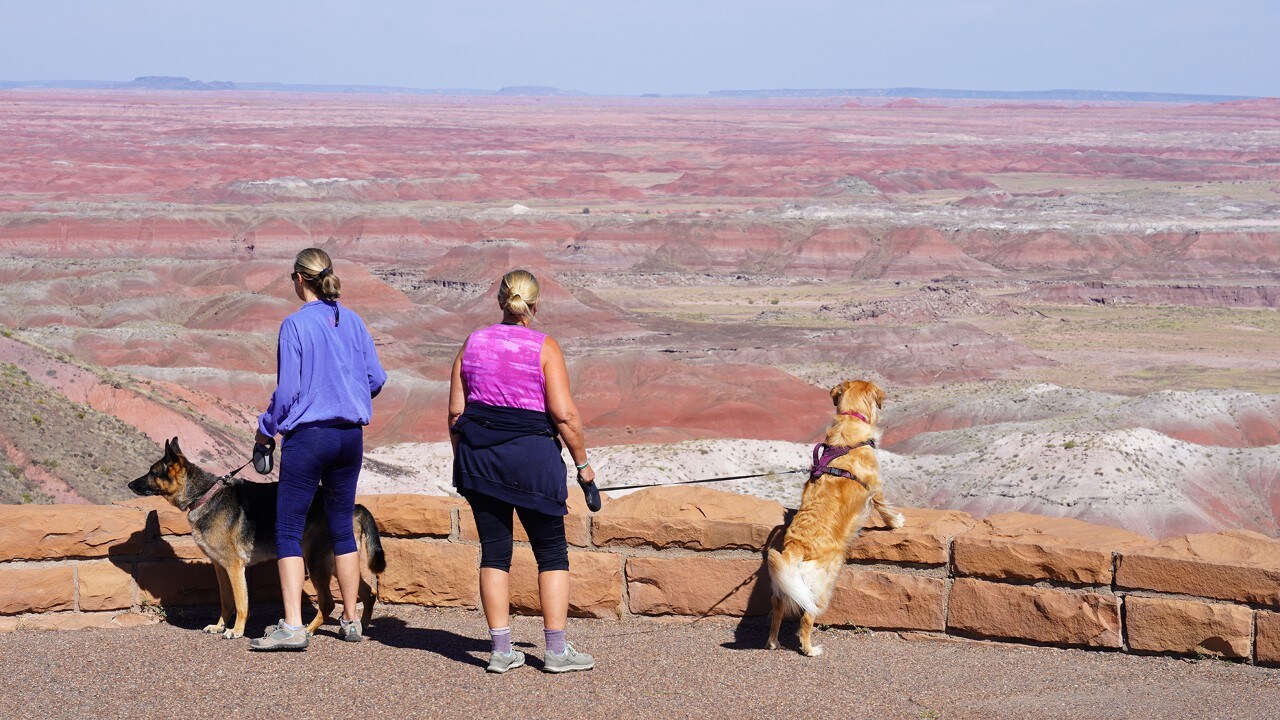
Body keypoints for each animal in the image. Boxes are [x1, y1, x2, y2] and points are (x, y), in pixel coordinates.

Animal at [133, 435, 389, 635]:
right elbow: (226, 601)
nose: (129, 484)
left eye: (152, 472)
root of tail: (354, 507)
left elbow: (241, 602)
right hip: (335, 562)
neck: (204, 495)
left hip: (316, 563)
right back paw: (360, 626)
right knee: (368, 592)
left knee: (327, 604)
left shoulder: (235, 567)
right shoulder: (220, 567)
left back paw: (307, 630)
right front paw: (219, 626)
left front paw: (236, 630)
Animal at [762, 379, 906, 653]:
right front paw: (896, 522)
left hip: (785, 584)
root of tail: (796, 546)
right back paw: (810, 649)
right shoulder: (875, 485)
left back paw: (773, 642)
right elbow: (884, 507)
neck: (850, 420)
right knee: (807, 616)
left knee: (777, 610)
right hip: (823, 584)